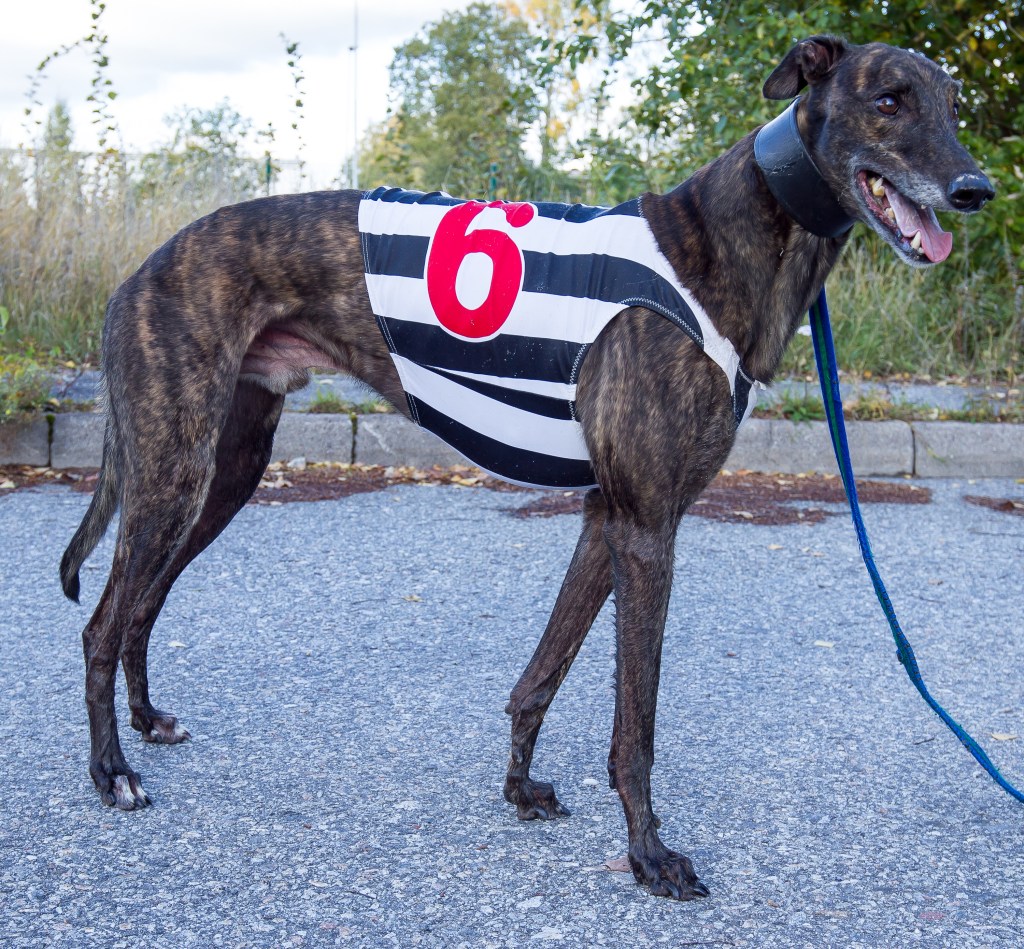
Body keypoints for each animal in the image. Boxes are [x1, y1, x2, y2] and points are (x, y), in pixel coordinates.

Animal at [60, 36, 992, 900]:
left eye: (954, 104)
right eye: (889, 99)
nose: (975, 189)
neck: (723, 245)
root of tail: (141, 267)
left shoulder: (607, 515)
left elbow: (542, 672)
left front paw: (519, 786)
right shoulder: (648, 528)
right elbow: (635, 724)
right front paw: (649, 854)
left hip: (222, 473)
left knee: (145, 599)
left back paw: (146, 722)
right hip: (174, 470)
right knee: (102, 620)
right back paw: (112, 773)